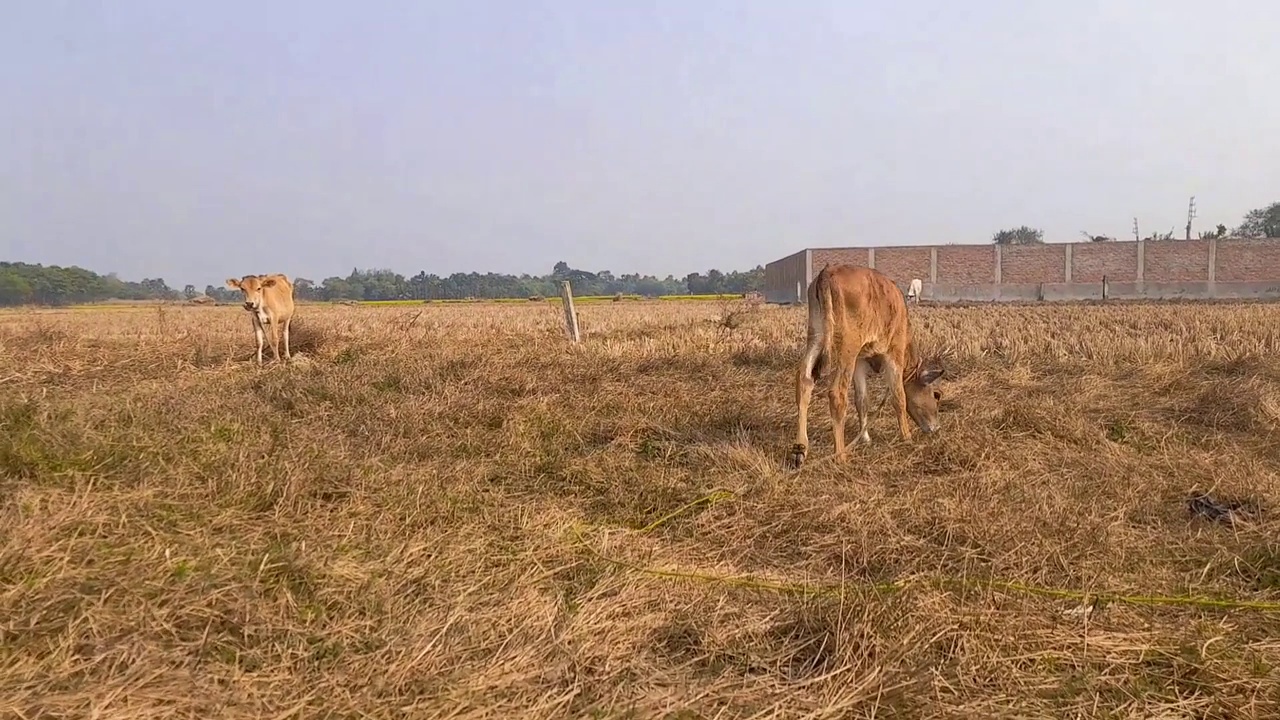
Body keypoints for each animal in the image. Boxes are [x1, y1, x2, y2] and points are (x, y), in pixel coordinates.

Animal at [783, 260, 947, 468]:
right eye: (936, 395)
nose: (936, 428)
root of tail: (828, 271)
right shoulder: (894, 353)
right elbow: (899, 397)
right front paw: (907, 437)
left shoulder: (860, 361)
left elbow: (862, 399)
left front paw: (865, 438)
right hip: (847, 346)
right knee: (837, 393)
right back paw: (840, 455)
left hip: (816, 336)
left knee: (804, 380)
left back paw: (800, 449)